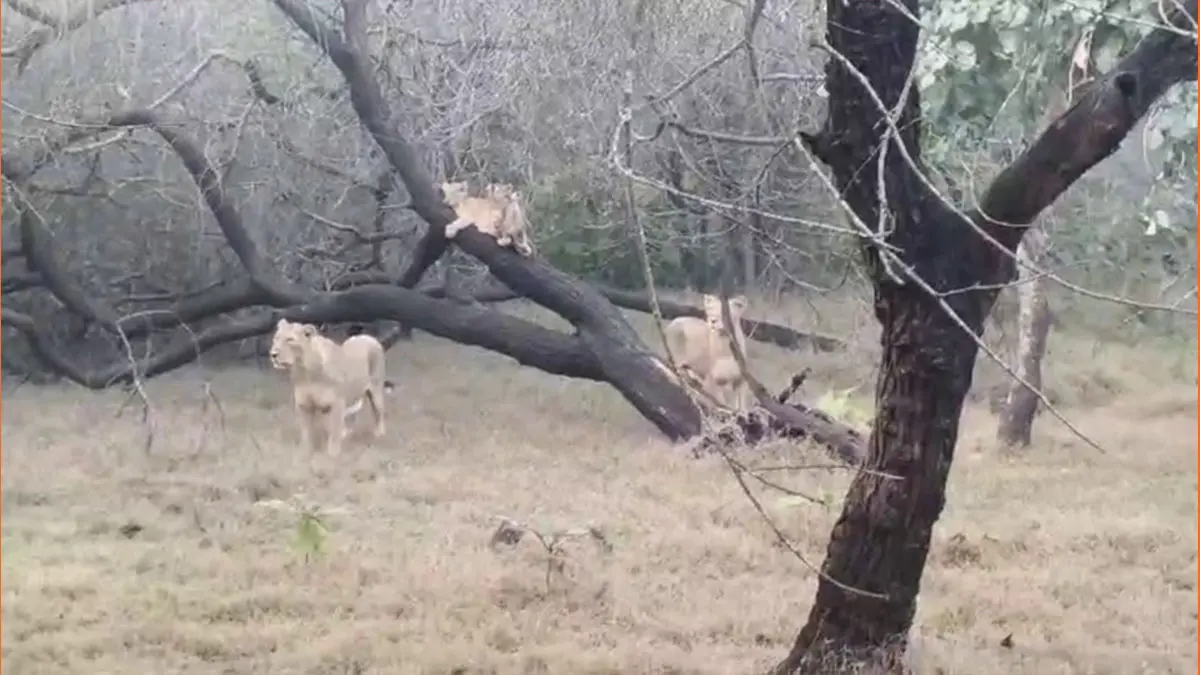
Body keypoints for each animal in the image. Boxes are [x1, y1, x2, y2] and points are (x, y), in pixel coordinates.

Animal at [268, 318, 392, 457]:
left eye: (290, 339)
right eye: (276, 338)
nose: (273, 354)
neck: (305, 372)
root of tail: (369, 337)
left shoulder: (337, 403)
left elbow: (334, 431)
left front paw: (333, 454)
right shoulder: (304, 406)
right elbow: (306, 432)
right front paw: (305, 452)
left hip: (376, 390)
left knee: (378, 412)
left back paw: (379, 434)